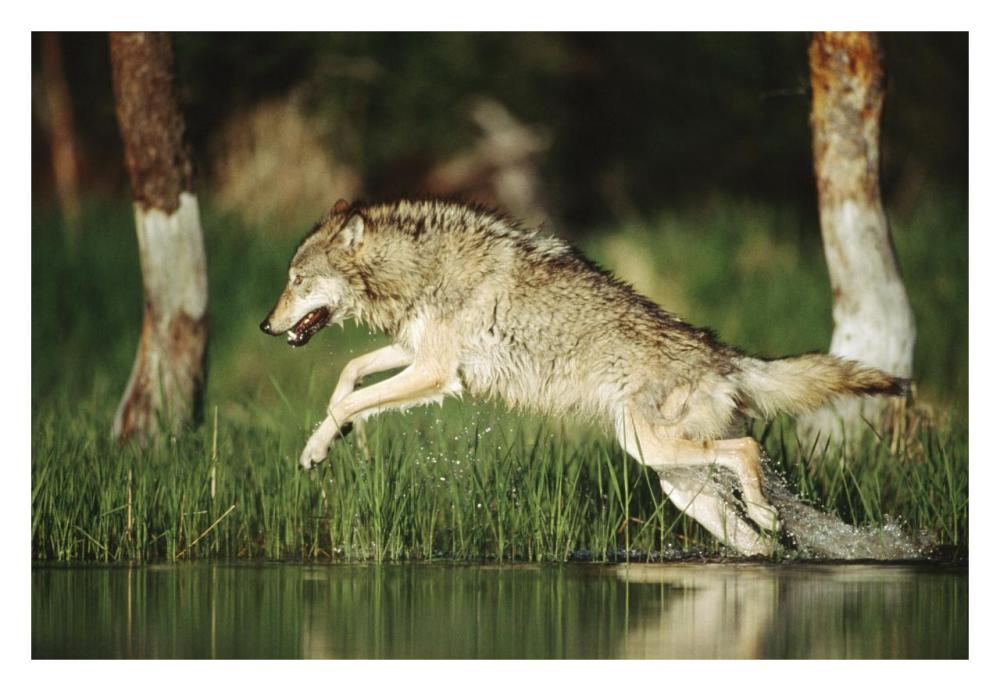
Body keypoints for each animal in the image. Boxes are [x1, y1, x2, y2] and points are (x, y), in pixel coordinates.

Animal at [260, 198, 907, 556]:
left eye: (296, 280)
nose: (266, 326)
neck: (419, 269)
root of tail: (724, 357)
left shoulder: (437, 372)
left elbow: (349, 399)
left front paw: (325, 440)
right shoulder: (418, 355)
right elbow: (349, 374)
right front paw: (325, 442)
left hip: (654, 450)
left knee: (747, 450)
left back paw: (768, 509)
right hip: (675, 479)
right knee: (754, 539)